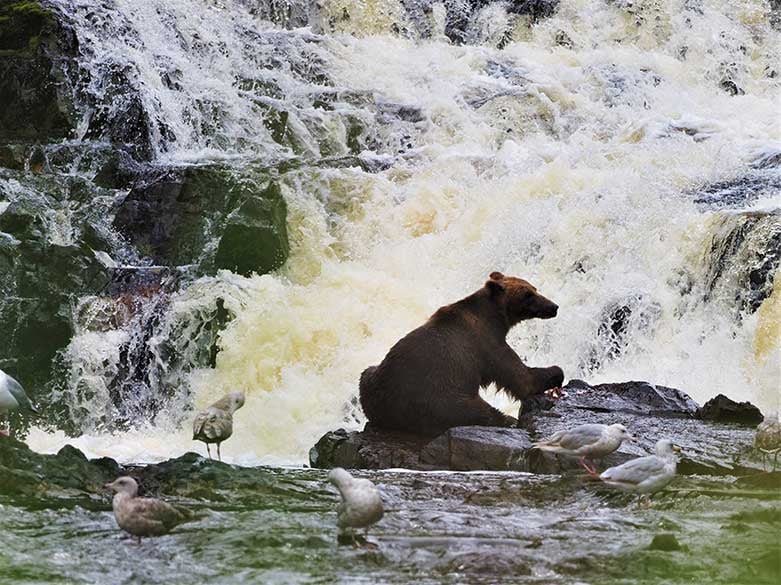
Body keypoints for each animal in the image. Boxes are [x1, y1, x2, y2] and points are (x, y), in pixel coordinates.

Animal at [356, 272, 564, 436]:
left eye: (535, 289)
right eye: (528, 294)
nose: (553, 306)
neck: (495, 317)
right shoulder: (486, 344)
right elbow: (521, 378)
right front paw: (555, 373)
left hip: (373, 381)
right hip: (442, 395)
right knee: (478, 410)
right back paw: (508, 420)